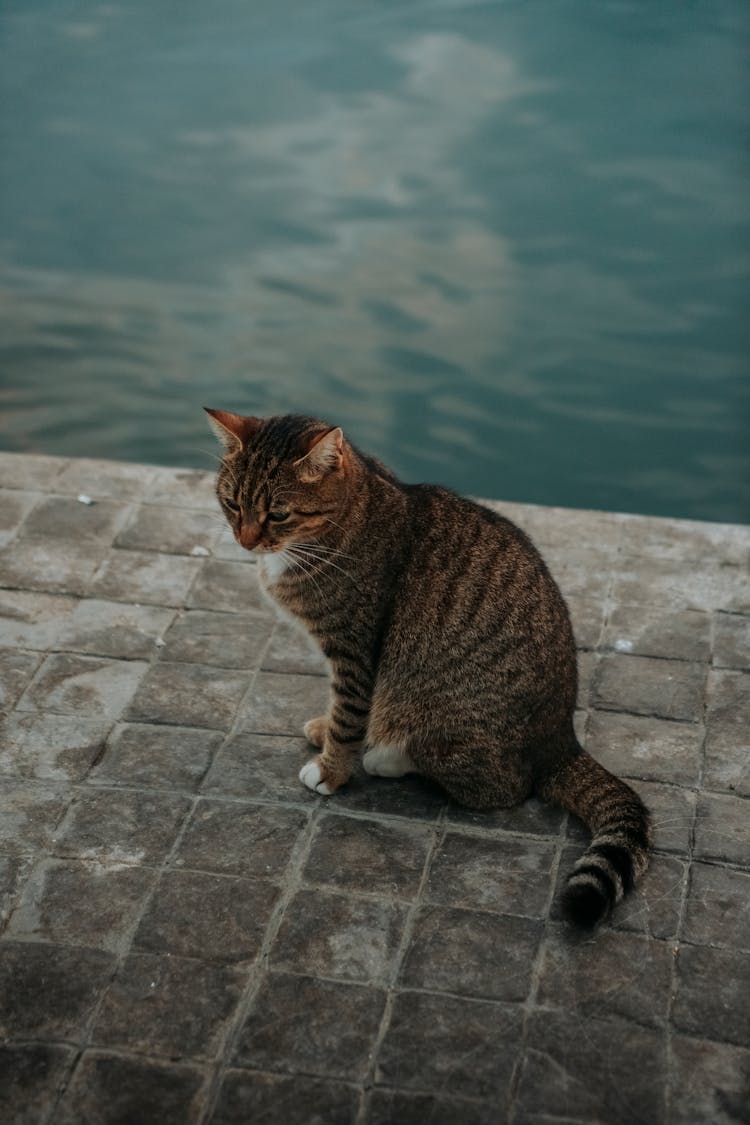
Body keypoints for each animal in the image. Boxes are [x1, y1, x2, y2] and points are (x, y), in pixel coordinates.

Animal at [206, 409, 652, 927]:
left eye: (277, 514)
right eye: (231, 504)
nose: (245, 541)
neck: (347, 516)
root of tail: (562, 740)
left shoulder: (355, 652)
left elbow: (348, 716)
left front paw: (333, 769)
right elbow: (338, 711)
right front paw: (326, 729)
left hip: (432, 711)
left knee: (502, 787)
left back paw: (388, 756)